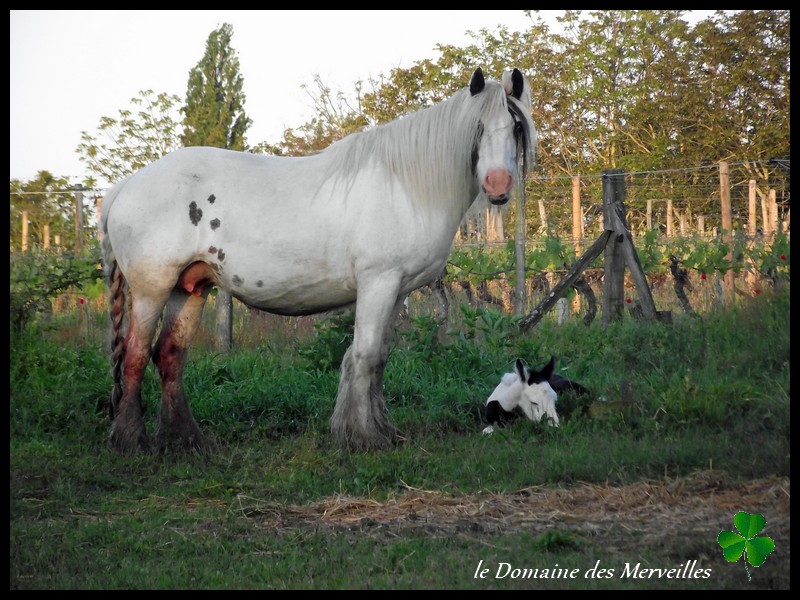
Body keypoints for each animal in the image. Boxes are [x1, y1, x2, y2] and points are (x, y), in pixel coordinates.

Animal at [101, 67, 536, 450]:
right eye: (478, 128)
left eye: (516, 127)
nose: (498, 185)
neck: (406, 185)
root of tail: (125, 186)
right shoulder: (378, 283)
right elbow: (363, 356)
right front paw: (363, 436)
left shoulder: (396, 291)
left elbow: (378, 358)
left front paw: (378, 429)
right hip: (152, 291)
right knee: (135, 356)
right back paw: (133, 441)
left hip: (190, 288)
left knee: (169, 355)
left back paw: (186, 439)